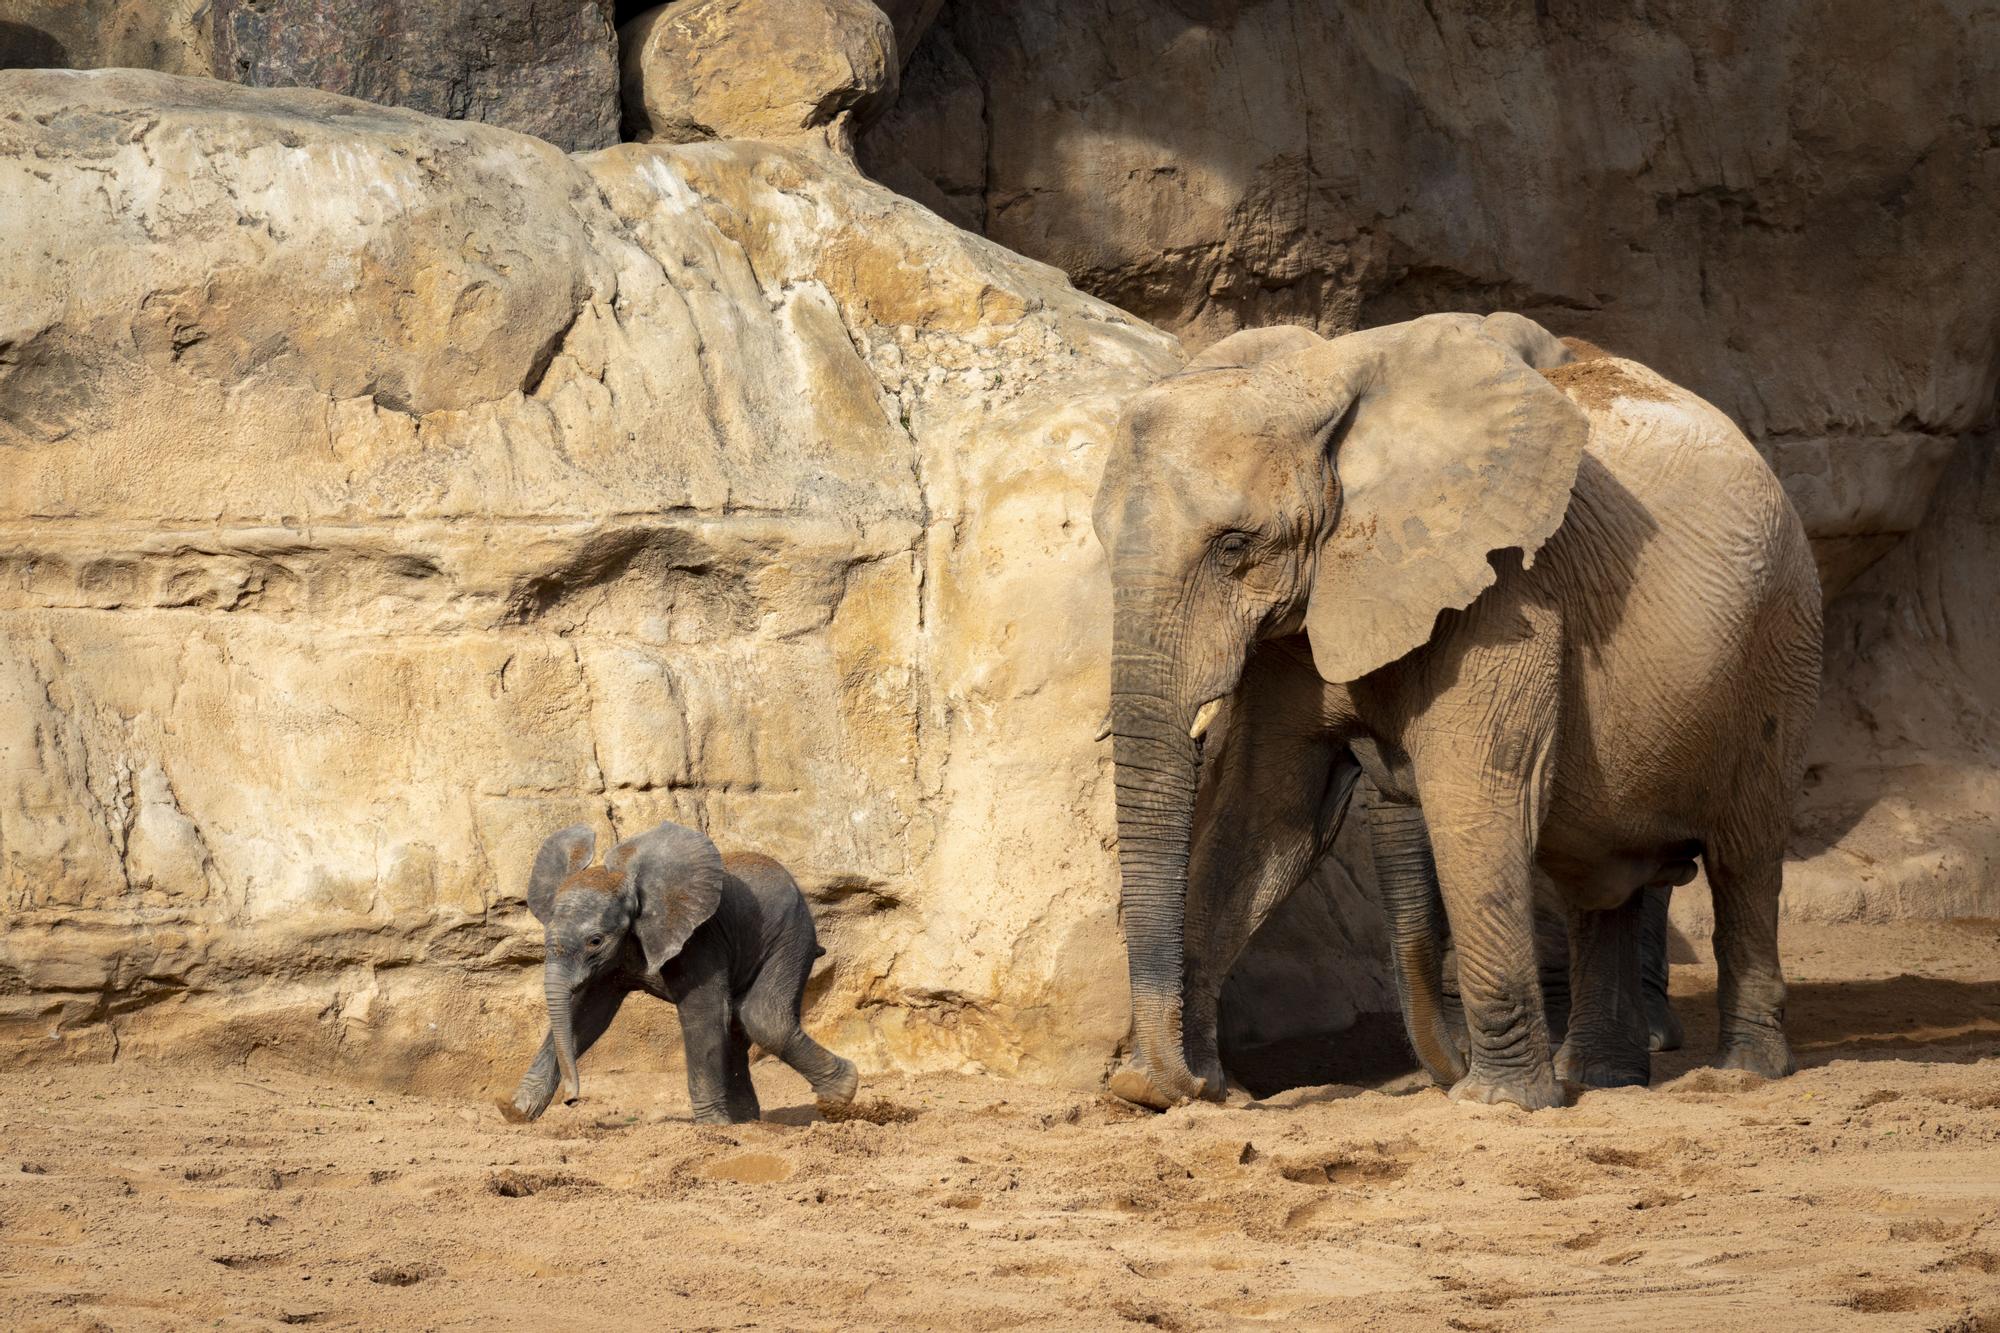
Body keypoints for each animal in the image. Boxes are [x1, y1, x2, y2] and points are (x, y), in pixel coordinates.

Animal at [504, 816, 856, 1112]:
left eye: (595, 941)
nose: (571, 1100)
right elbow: (587, 1016)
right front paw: (518, 1112)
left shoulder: (700, 937)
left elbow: (704, 1013)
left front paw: (712, 1127)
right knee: (741, 1022)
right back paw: (750, 1122)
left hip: (790, 935)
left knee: (763, 1018)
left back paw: (839, 1098)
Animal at [1104, 306, 1824, 1104]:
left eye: (1234, 546)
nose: (1161, 1082)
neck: (1329, 381)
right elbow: (1264, 817)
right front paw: (1177, 1088)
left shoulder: (1508, 592)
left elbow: (1474, 800)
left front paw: (1496, 1104)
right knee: (1602, 880)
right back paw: (1602, 1079)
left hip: (1780, 644)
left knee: (1745, 858)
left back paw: (1740, 1074)